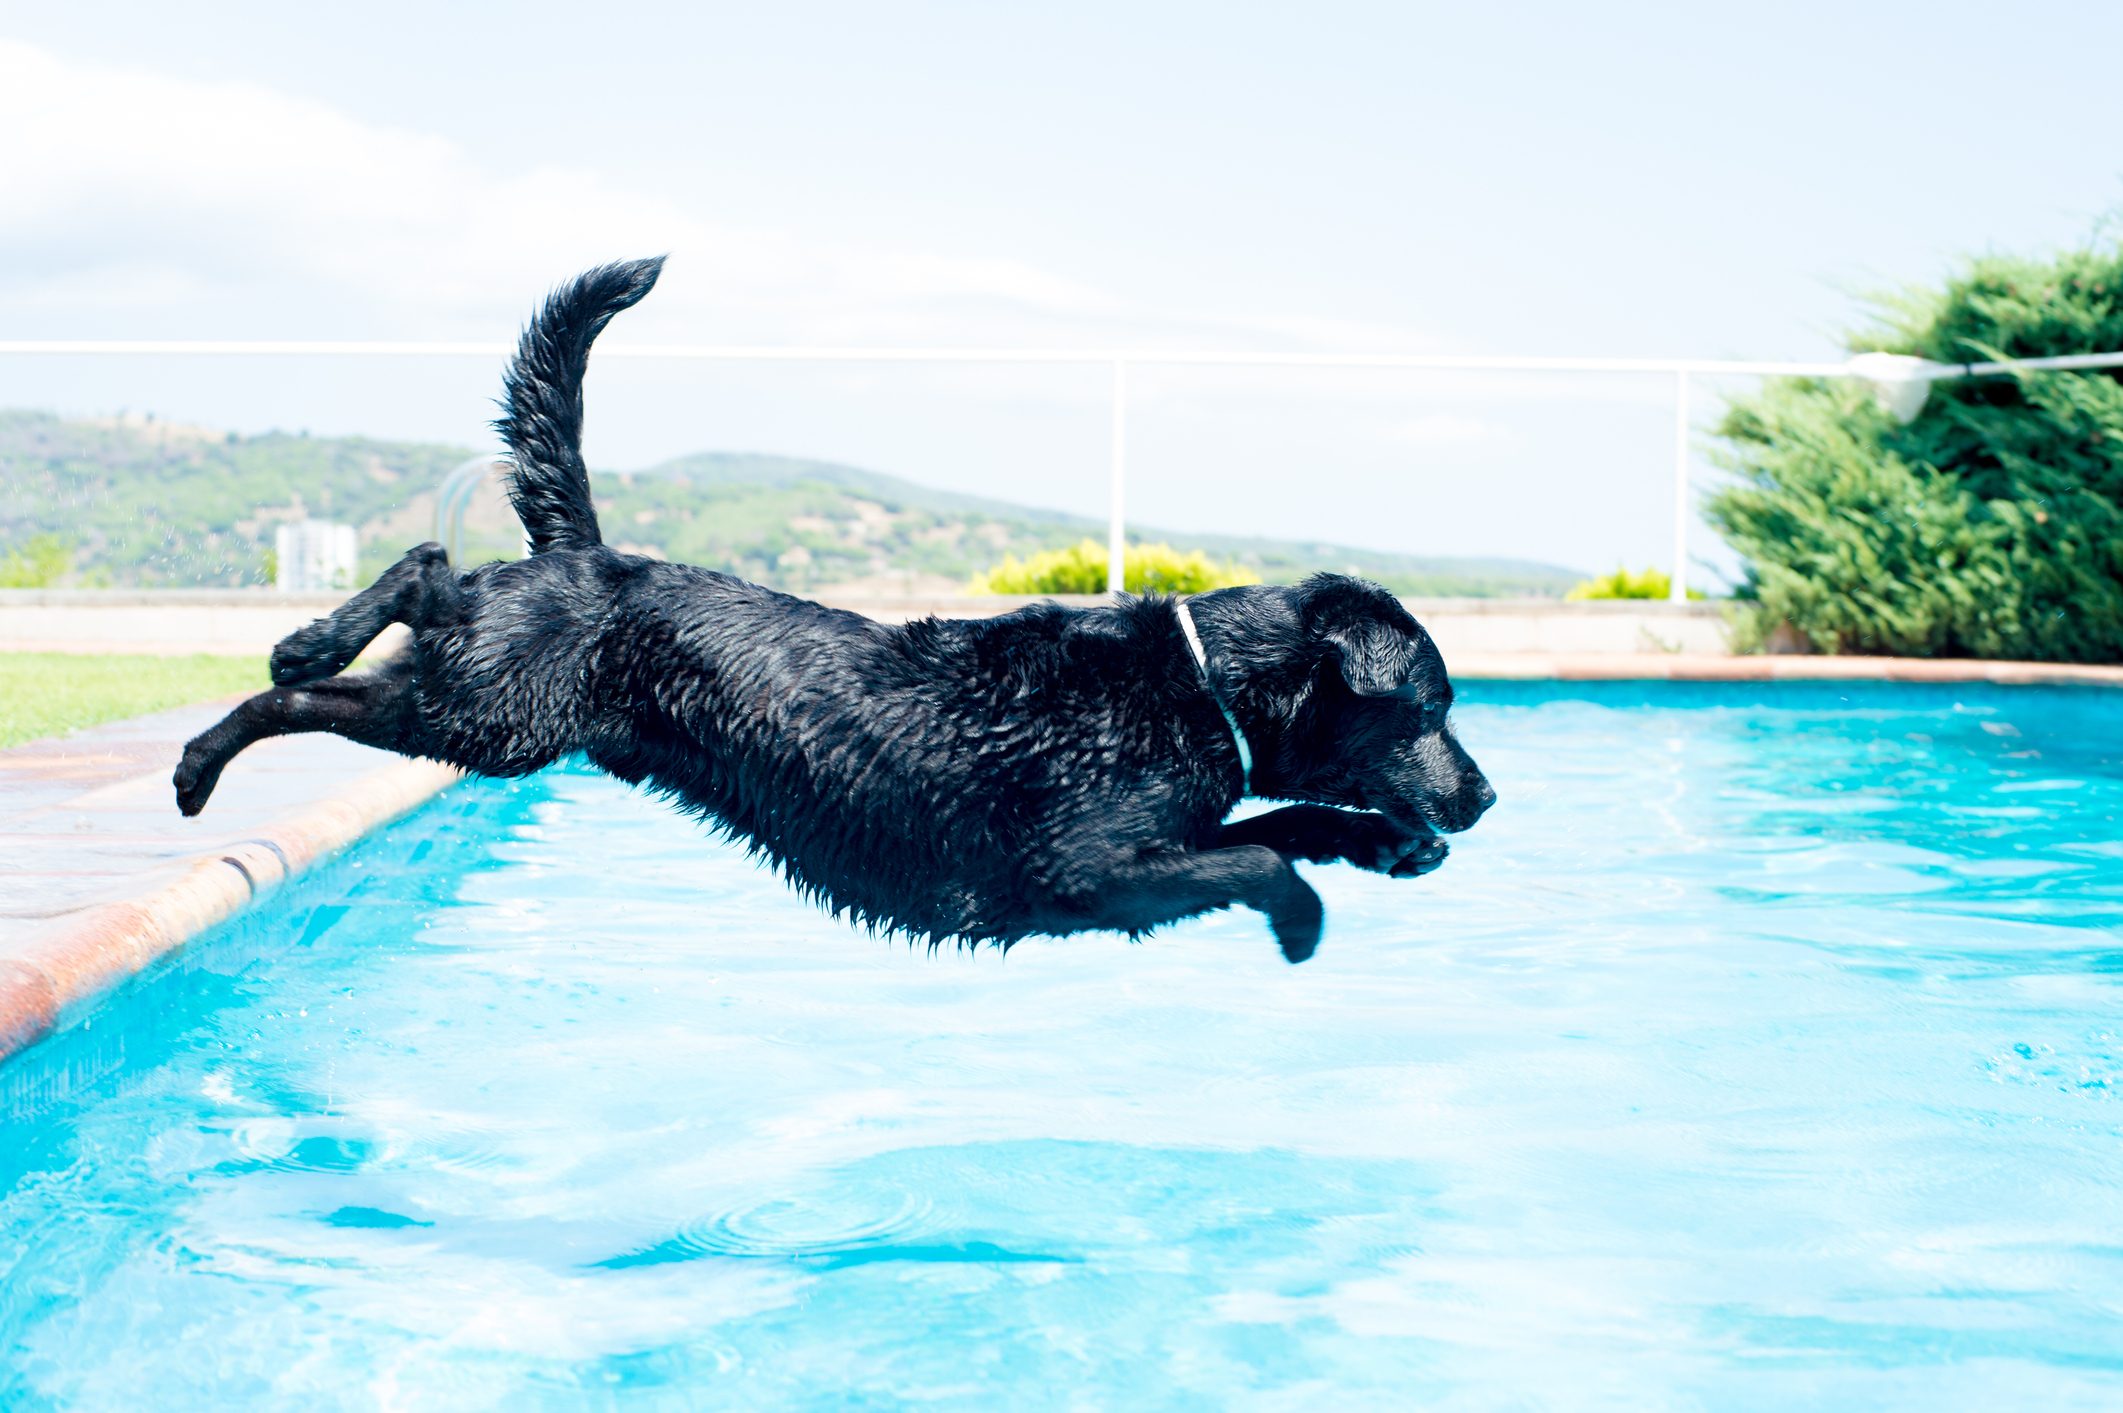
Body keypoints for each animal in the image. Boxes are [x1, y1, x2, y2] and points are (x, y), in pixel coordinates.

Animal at [178, 258, 1494, 958]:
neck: (1195, 682)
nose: (1482, 796)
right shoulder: (1080, 871)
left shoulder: (1143, 852)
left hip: (491, 702)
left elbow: (1283, 820)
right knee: (375, 616)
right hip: (492, 718)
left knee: (416, 593)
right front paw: (1304, 916)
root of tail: (586, 552)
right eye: (1428, 706)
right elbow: (1257, 853)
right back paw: (229, 723)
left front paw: (1384, 845)